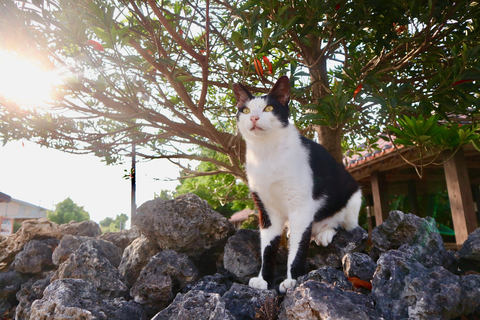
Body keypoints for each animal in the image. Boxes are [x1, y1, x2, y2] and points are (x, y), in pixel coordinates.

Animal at [232, 75, 360, 292]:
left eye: (269, 108)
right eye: (246, 110)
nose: (254, 118)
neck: (267, 153)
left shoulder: (301, 206)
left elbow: (298, 247)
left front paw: (293, 280)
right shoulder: (266, 211)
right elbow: (268, 247)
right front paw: (263, 279)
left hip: (353, 196)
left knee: (344, 224)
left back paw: (325, 232)